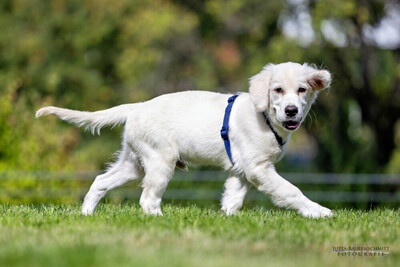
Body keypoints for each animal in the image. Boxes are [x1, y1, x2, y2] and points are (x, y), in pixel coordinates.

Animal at [36, 62, 332, 218]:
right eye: (277, 90)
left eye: (302, 90)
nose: (291, 111)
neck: (265, 117)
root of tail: (137, 107)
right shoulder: (258, 168)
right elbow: (290, 191)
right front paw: (319, 212)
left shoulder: (241, 171)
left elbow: (233, 199)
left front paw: (228, 219)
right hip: (160, 160)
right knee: (148, 199)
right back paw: (159, 220)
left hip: (133, 163)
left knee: (100, 181)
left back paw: (86, 213)